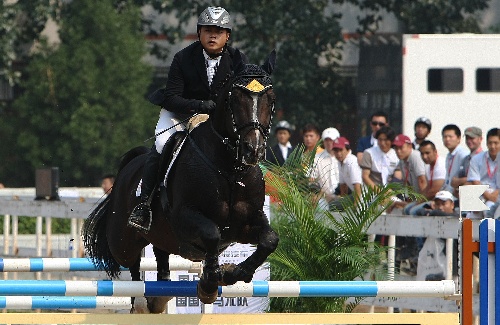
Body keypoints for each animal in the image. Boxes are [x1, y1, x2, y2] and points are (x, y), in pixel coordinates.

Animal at [80, 50, 280, 312]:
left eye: (271, 99)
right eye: (235, 99)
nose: (253, 149)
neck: (230, 170)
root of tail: (130, 167)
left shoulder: (245, 223)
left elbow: (269, 239)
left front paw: (234, 273)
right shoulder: (185, 217)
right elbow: (212, 234)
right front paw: (209, 284)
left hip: (161, 237)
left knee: (160, 257)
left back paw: (158, 299)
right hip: (122, 241)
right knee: (132, 266)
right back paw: (140, 303)